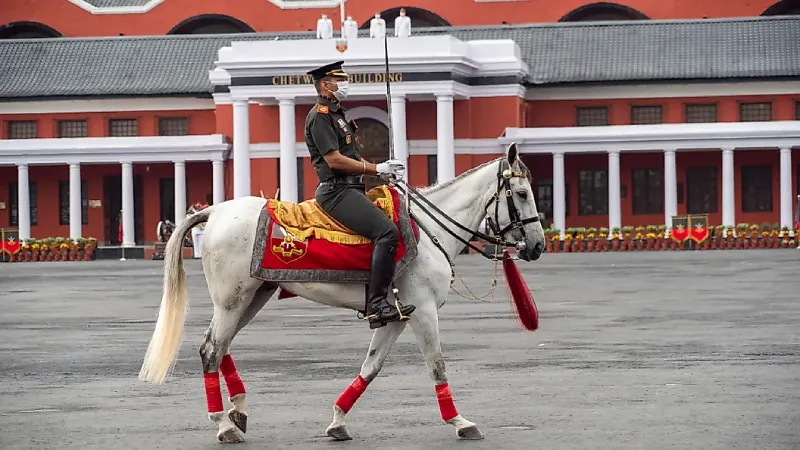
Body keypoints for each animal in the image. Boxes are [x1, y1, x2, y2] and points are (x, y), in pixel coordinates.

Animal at [141, 143, 548, 442]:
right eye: (522, 193)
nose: (538, 246)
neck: (429, 231)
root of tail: (214, 211)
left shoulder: (398, 314)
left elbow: (371, 366)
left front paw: (338, 420)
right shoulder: (424, 311)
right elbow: (437, 366)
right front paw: (460, 421)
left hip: (252, 295)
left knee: (221, 345)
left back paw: (237, 410)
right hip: (233, 299)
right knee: (211, 348)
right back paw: (223, 424)